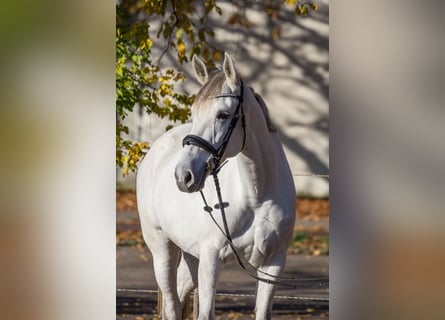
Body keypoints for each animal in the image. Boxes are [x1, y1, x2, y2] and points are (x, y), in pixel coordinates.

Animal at [135, 53, 294, 318]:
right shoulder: (211, 260)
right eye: (193, 111)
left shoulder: (273, 264)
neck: (257, 196)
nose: (183, 176)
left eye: (223, 115)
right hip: (162, 249)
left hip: (190, 254)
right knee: (171, 305)